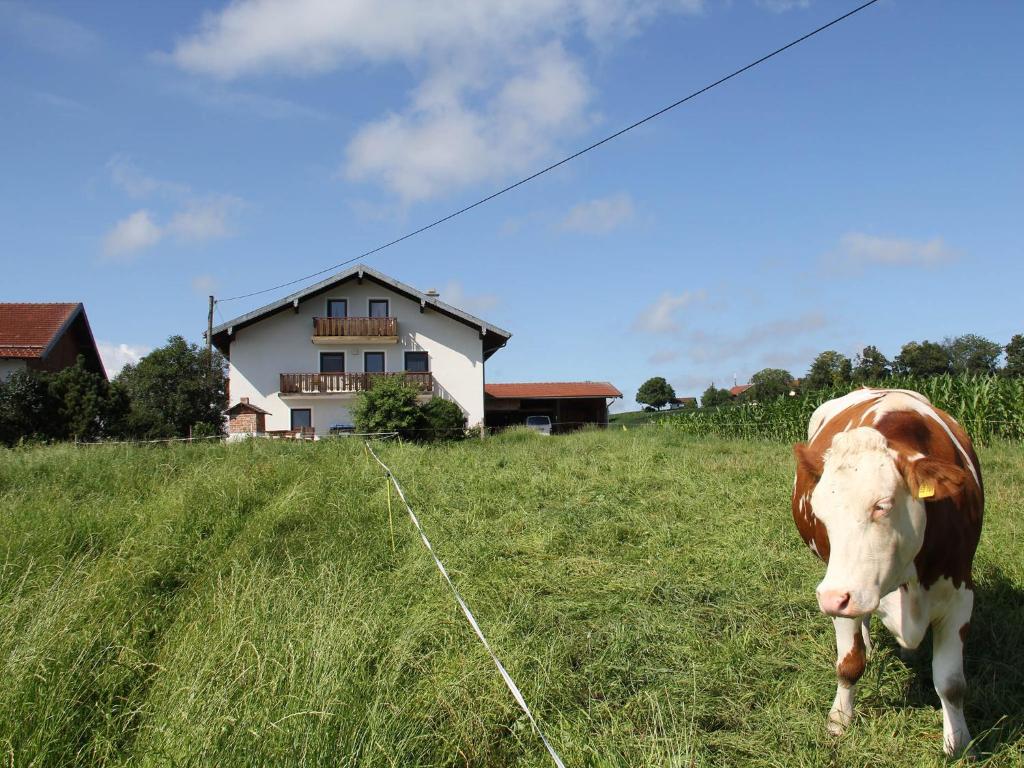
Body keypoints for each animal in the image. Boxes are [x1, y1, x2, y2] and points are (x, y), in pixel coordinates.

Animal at [790, 391, 983, 757]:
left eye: (882, 505)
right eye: (820, 511)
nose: (830, 597)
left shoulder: (960, 596)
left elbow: (951, 684)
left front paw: (958, 742)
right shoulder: (844, 594)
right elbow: (850, 664)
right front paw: (839, 719)